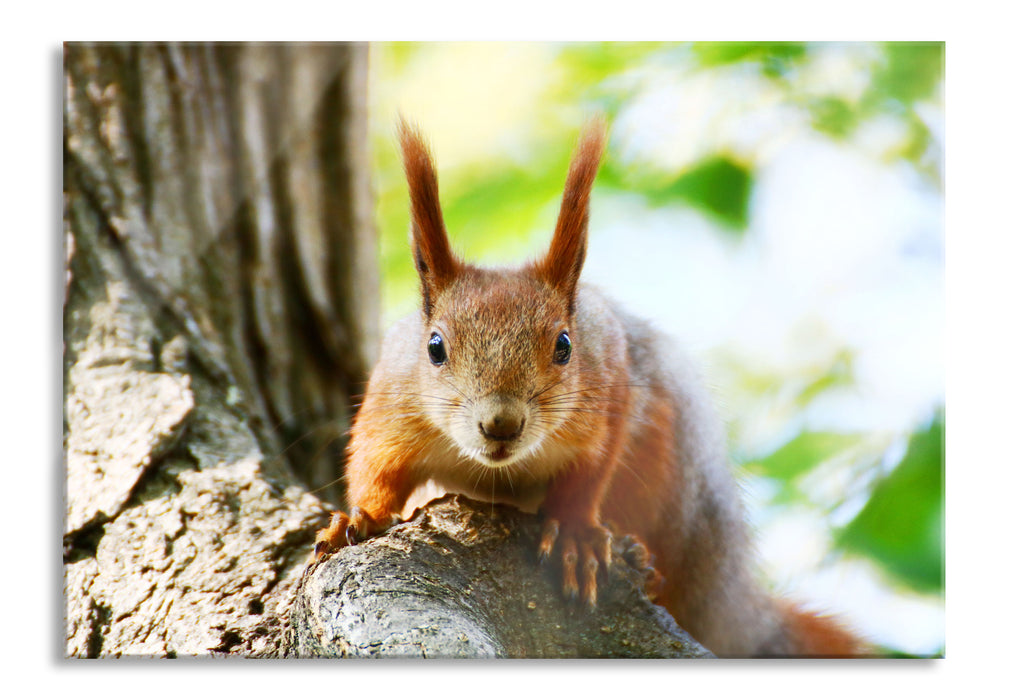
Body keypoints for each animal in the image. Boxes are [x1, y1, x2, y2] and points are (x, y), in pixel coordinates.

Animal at [316, 118, 867, 661]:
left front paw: (576, 535)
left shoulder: (610, 391)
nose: (501, 424)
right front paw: (358, 518)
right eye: (434, 347)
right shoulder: (392, 403)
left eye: (564, 345)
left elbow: (591, 471)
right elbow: (376, 467)